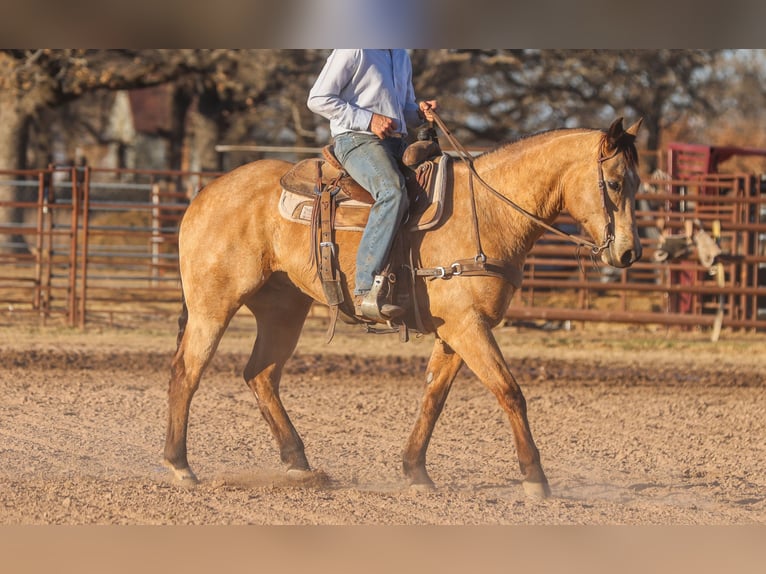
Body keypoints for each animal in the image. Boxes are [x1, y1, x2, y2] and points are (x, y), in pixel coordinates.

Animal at [163, 116, 643, 498]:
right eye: (615, 183)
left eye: (638, 184)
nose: (628, 253)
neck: (487, 212)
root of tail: (206, 192)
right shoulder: (468, 326)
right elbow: (510, 392)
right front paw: (534, 479)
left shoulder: (456, 329)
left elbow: (433, 396)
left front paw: (415, 471)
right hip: (213, 304)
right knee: (188, 371)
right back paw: (180, 466)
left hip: (283, 310)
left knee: (260, 375)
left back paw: (299, 465)